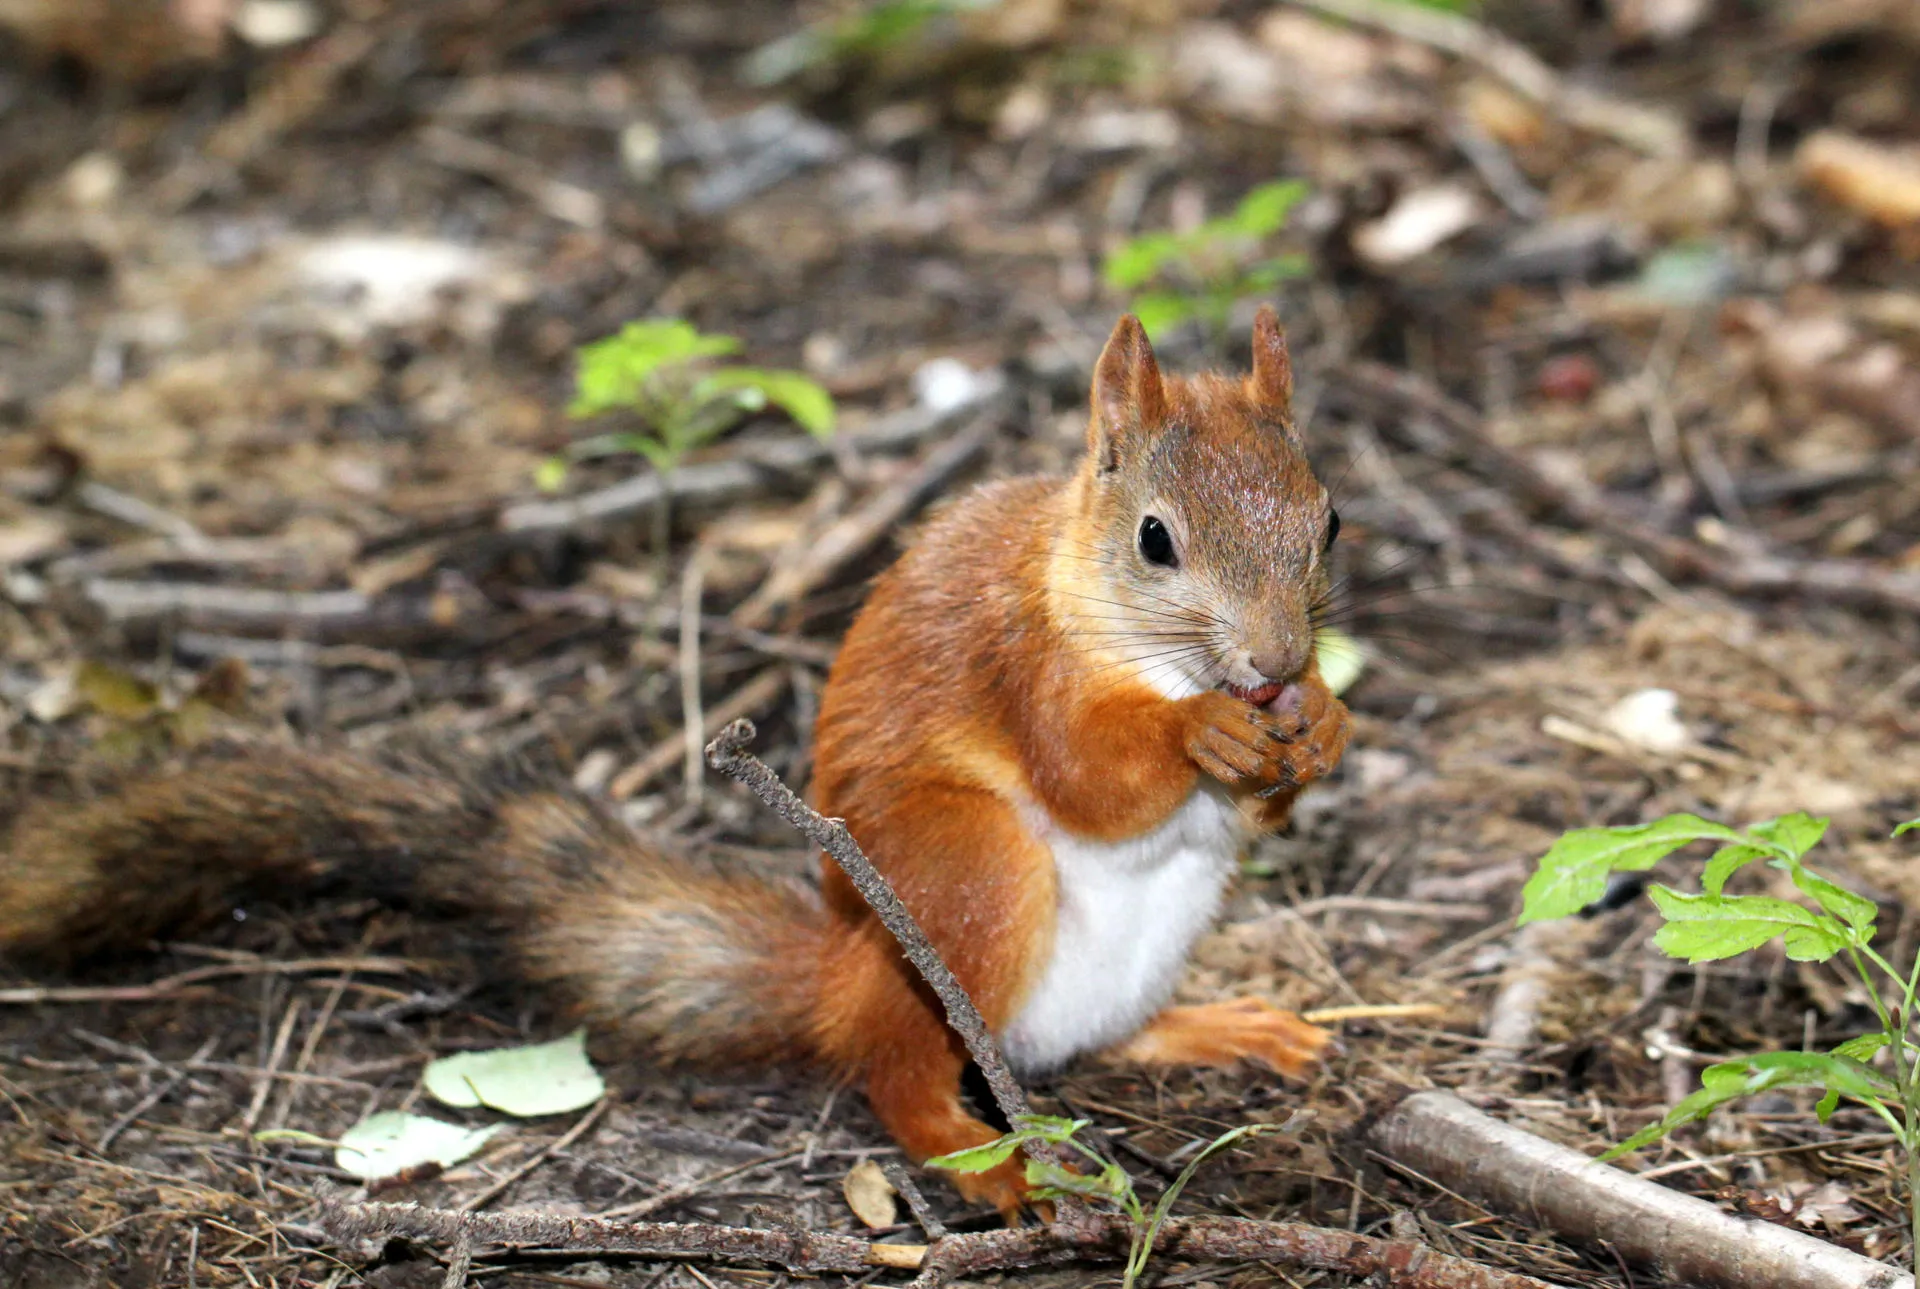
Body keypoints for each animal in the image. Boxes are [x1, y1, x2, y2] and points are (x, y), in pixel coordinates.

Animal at [0, 307, 1350, 1218]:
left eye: (1329, 518)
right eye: (1156, 541)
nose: (1278, 658)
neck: (1123, 628)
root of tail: (839, 975)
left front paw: (1323, 722)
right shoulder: (1022, 659)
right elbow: (1087, 773)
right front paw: (1199, 736)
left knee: (1081, 1039)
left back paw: (1207, 1026)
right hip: (966, 871)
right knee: (896, 1067)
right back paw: (984, 1154)